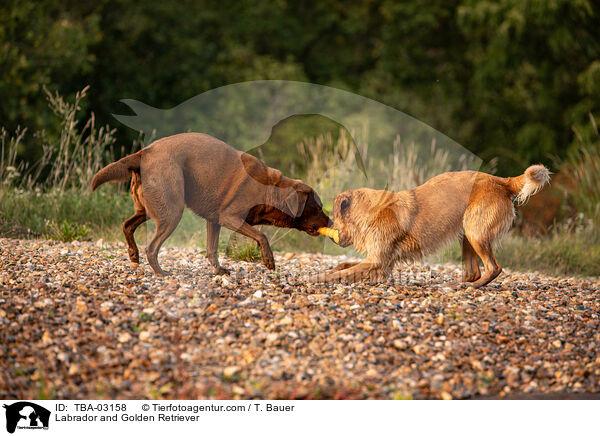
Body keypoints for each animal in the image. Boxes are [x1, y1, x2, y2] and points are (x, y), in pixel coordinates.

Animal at [91, 133, 330, 276]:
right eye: (318, 207)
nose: (331, 221)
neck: (270, 190)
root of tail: (144, 152)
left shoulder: (214, 220)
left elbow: (211, 248)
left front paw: (219, 270)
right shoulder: (229, 216)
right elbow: (261, 235)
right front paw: (269, 261)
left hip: (149, 208)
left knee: (127, 224)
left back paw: (133, 255)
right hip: (172, 210)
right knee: (151, 246)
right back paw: (161, 272)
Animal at [316, 165, 552, 288]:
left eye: (335, 217)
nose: (328, 232)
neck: (371, 211)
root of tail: (502, 181)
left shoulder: (376, 260)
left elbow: (344, 271)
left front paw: (319, 278)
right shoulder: (380, 262)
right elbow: (344, 265)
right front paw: (331, 270)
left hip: (475, 230)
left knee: (493, 268)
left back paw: (468, 288)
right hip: (466, 233)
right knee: (473, 271)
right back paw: (454, 285)